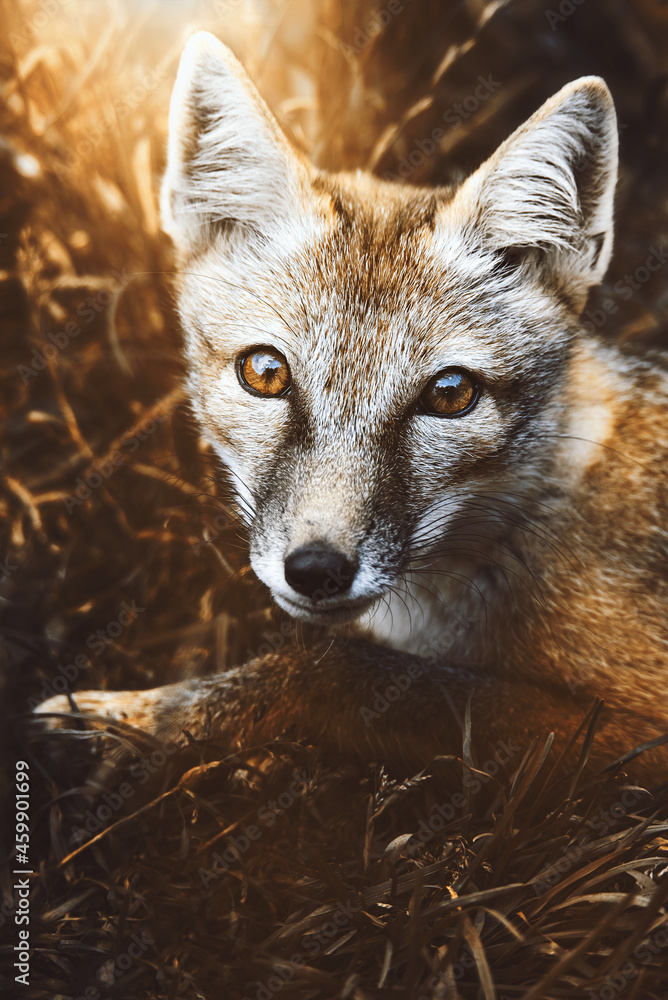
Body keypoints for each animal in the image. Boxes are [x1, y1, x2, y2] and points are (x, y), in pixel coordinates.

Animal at [36, 32, 668, 784]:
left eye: (450, 394)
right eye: (266, 373)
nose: (316, 571)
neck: (533, 514)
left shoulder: (637, 736)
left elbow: (331, 670)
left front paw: (138, 722)